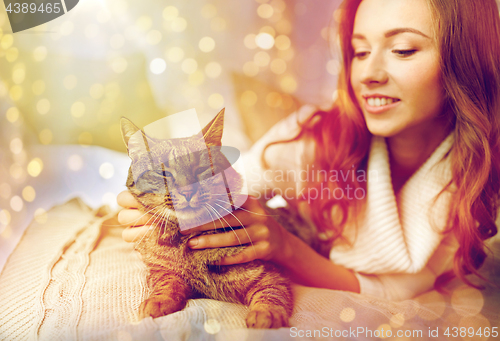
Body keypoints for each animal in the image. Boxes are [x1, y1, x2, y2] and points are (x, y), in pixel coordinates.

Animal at [120, 109, 292, 326]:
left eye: (201, 169)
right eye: (163, 173)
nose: (187, 191)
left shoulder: (270, 275)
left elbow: (270, 295)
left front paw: (266, 315)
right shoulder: (161, 270)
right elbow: (167, 282)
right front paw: (158, 300)